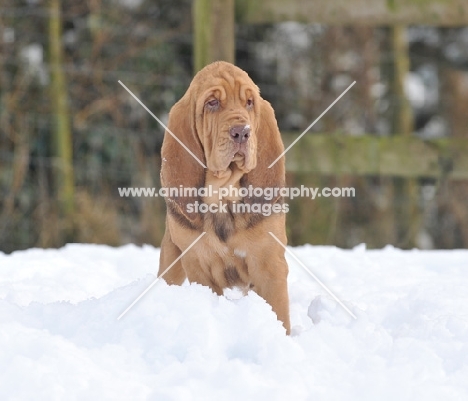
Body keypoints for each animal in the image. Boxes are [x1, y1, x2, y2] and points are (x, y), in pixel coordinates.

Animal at [159, 61, 290, 332]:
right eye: (212, 103)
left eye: (249, 102)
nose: (242, 132)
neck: (223, 196)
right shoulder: (198, 266)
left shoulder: (269, 266)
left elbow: (280, 315)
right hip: (171, 263)